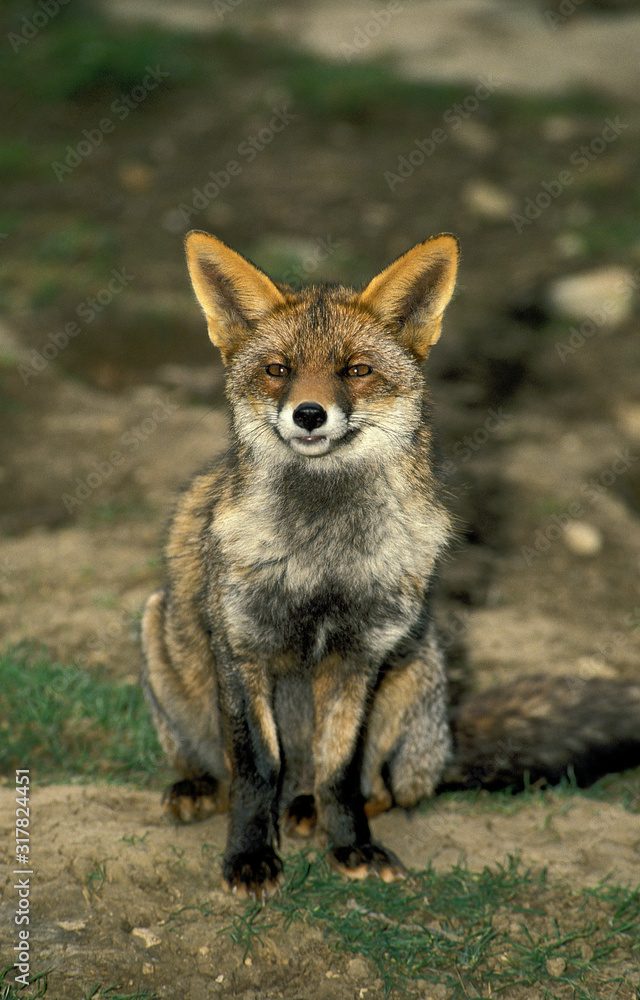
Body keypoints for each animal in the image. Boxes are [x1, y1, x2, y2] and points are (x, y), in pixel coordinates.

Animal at [142, 231, 640, 900]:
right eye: (278, 371)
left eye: (356, 370)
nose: (309, 414)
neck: (323, 556)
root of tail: (447, 737)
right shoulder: (243, 646)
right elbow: (255, 769)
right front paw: (249, 856)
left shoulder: (362, 652)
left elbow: (340, 771)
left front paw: (349, 845)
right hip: (160, 636)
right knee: (222, 770)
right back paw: (201, 787)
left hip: (415, 674)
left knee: (388, 789)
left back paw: (309, 809)